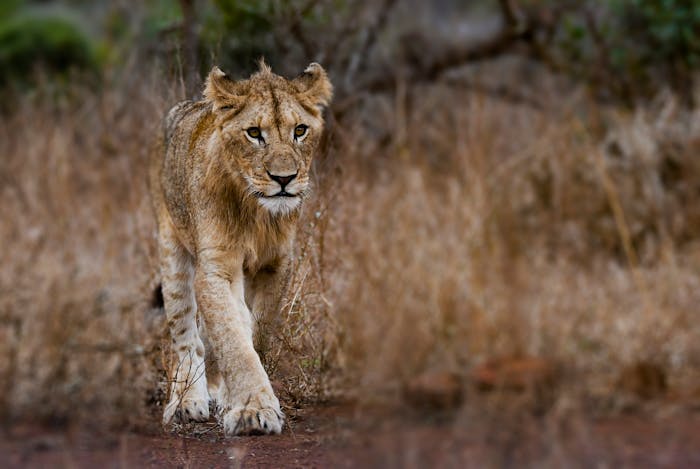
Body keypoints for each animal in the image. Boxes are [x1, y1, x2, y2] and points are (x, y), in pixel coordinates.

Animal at [149, 61, 332, 435]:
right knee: (187, 338)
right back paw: (186, 401)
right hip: (172, 252)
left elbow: (254, 332)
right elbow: (233, 338)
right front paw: (252, 410)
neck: (257, 213)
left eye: (300, 130)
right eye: (253, 133)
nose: (284, 179)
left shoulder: (277, 265)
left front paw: (239, 400)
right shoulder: (216, 268)